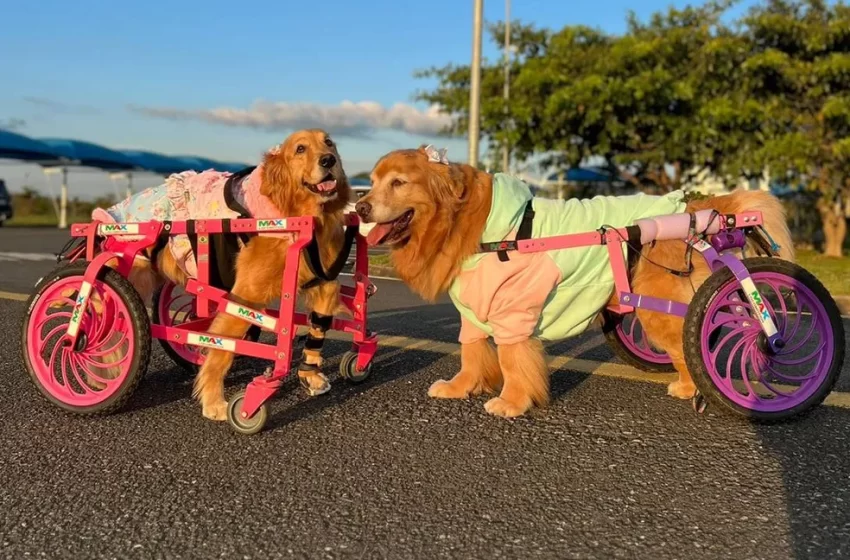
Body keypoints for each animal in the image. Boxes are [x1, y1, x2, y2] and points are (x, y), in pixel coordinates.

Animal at [91, 130, 350, 420]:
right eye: (300, 149)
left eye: (329, 143)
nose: (328, 160)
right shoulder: (245, 295)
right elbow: (222, 350)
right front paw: (215, 401)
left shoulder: (321, 279)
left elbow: (319, 327)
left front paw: (311, 373)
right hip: (125, 274)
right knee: (97, 317)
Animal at [354, 147, 792, 418]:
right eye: (372, 182)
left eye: (398, 183)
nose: (359, 206)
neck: (469, 225)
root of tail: (700, 207)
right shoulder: (473, 306)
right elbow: (472, 352)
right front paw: (461, 387)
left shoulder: (514, 308)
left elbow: (512, 359)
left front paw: (511, 402)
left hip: (660, 306)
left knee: (691, 346)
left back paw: (690, 387)